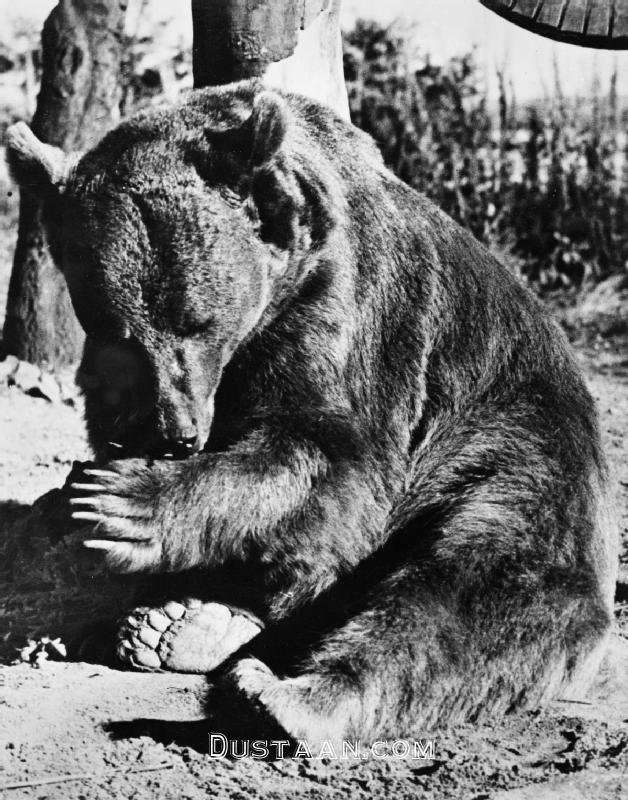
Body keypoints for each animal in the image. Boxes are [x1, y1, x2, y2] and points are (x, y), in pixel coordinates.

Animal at [7, 79, 620, 744]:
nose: (178, 434)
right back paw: (176, 627)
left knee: (475, 586)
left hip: (513, 450)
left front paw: (120, 502)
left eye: (196, 320)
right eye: (116, 330)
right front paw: (83, 500)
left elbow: (327, 455)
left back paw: (280, 695)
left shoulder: (350, 315)